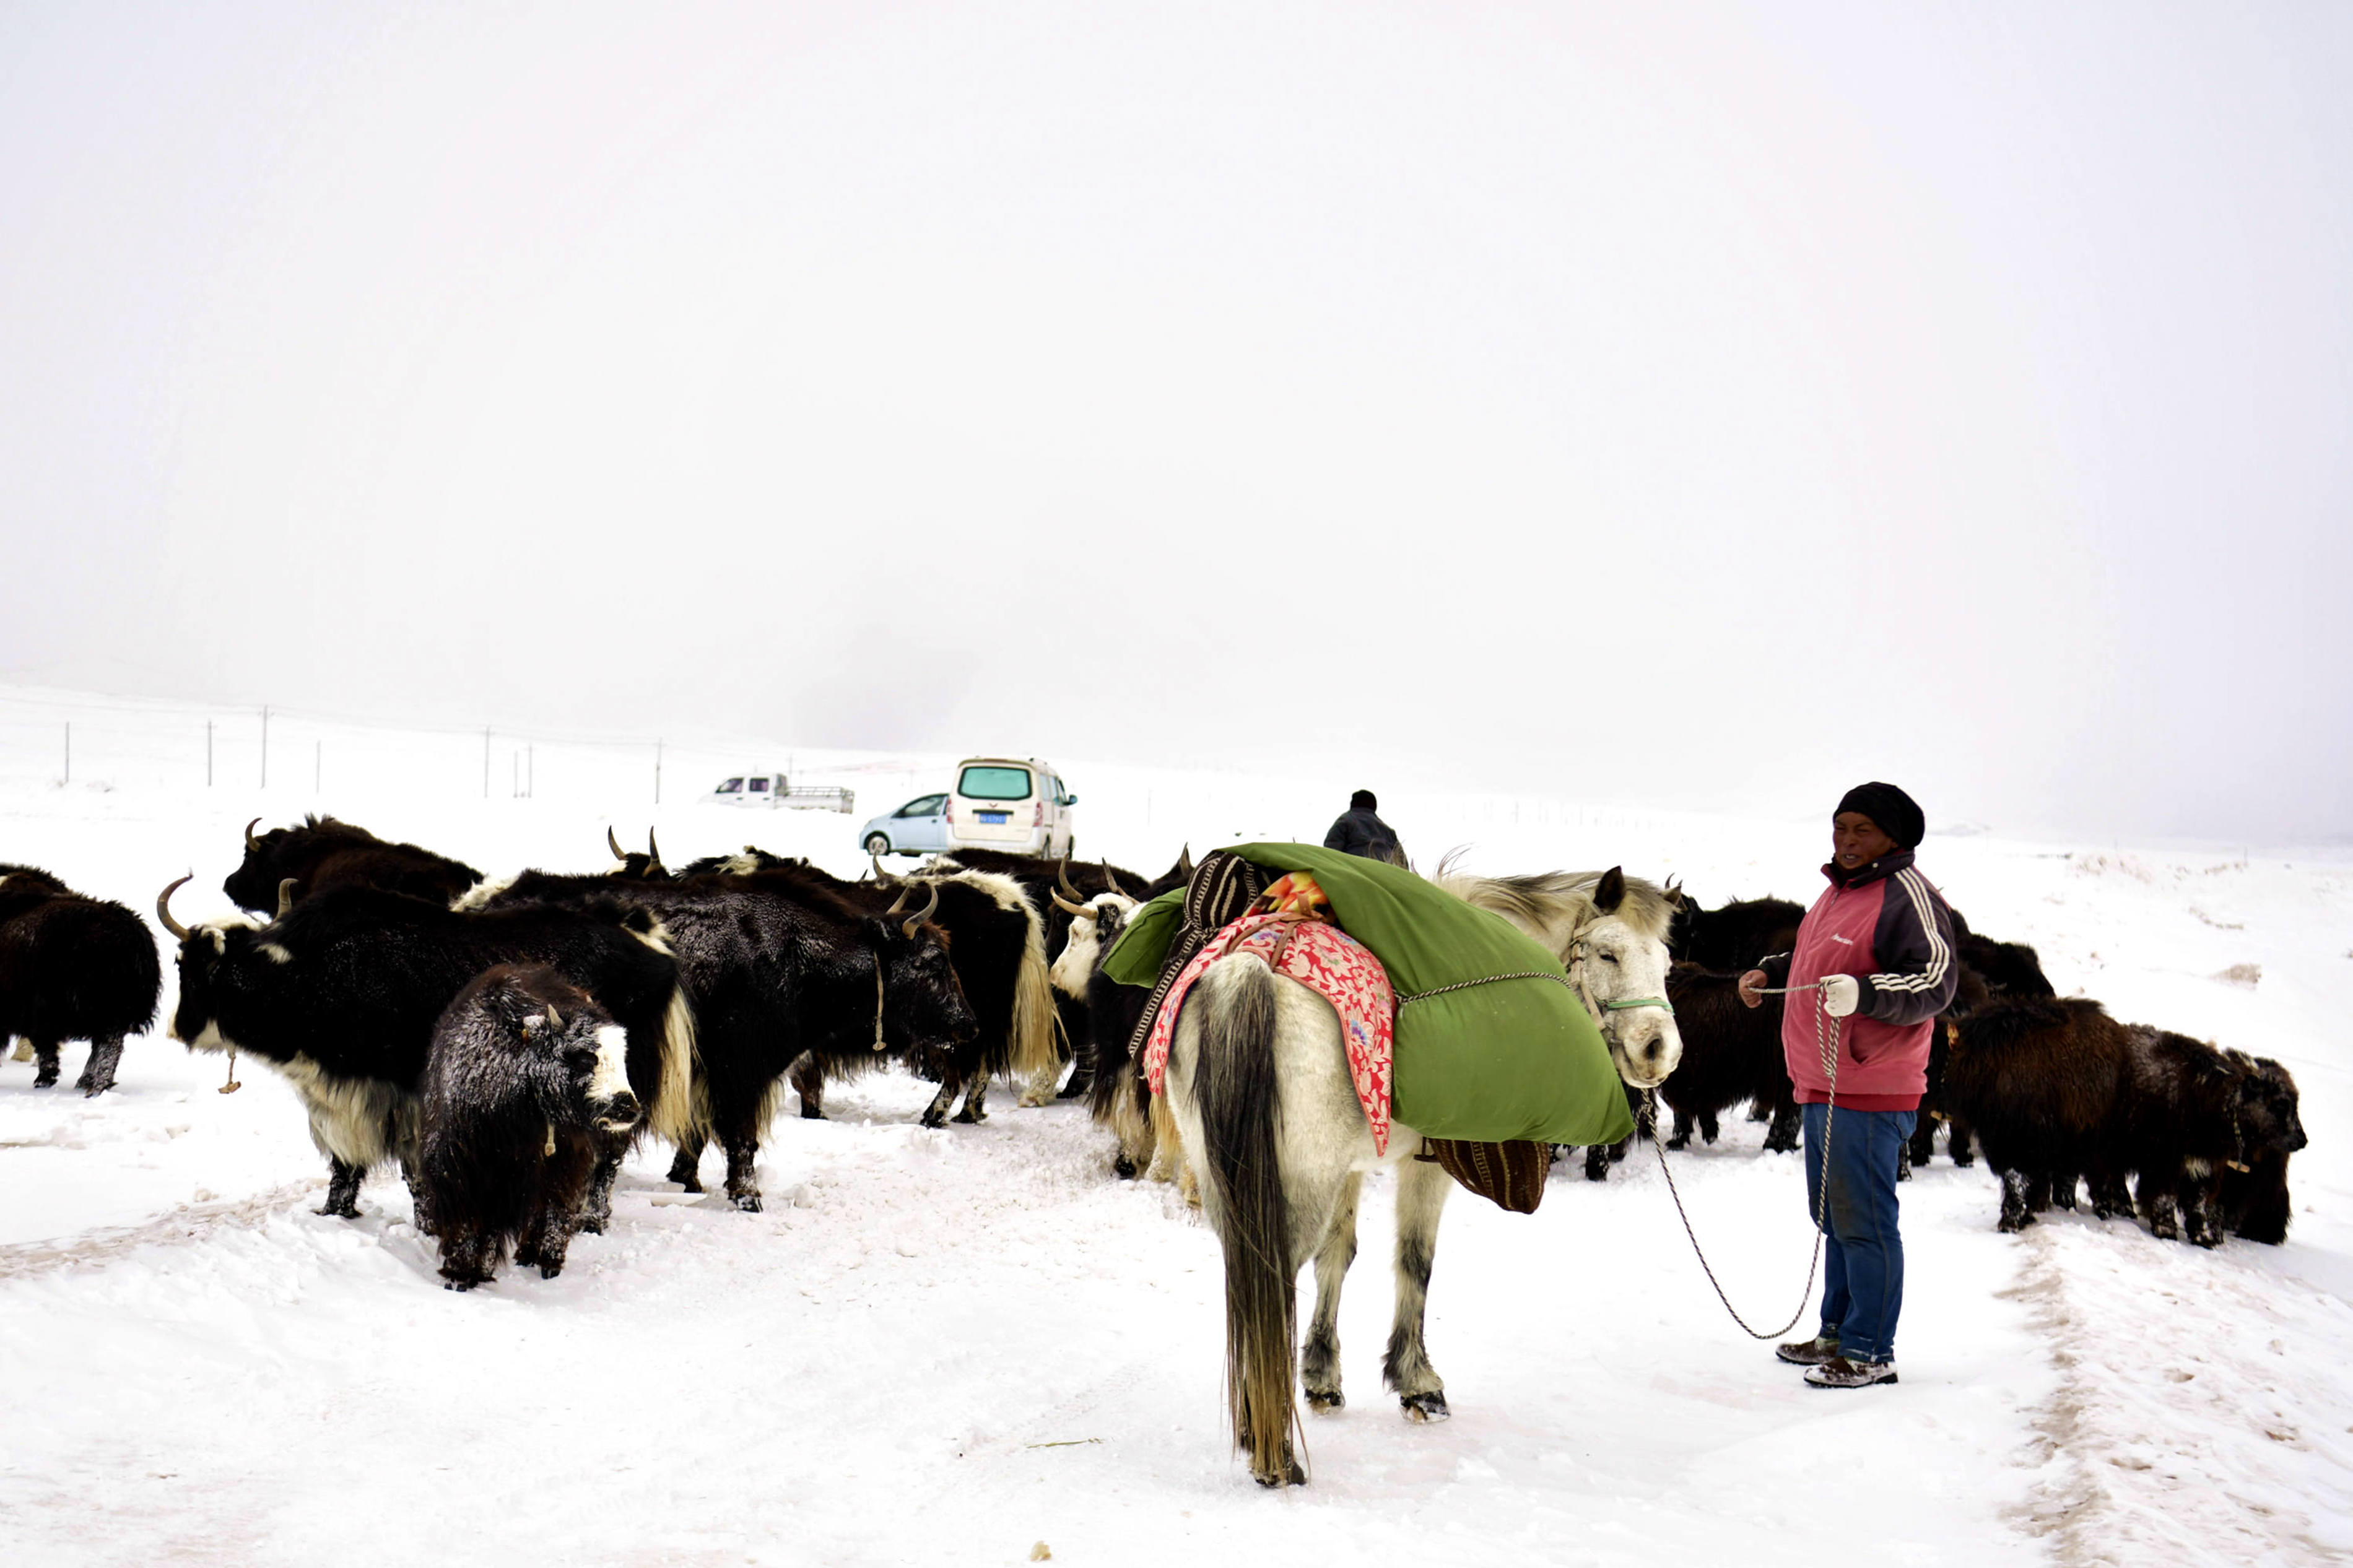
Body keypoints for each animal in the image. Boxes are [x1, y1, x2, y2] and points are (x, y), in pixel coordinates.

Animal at [1157, 865, 1675, 1495]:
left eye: (1667, 963)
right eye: (1608, 953)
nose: (1660, 1050)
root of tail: (1252, 970)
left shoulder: (1351, 1165)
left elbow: (1339, 1254)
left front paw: (1322, 1373)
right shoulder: (1426, 1163)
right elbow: (1415, 1258)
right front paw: (1418, 1382)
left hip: (1228, 1178)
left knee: (1248, 1284)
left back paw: (1257, 1429)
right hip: (1294, 1185)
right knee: (1270, 1285)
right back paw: (1274, 1453)